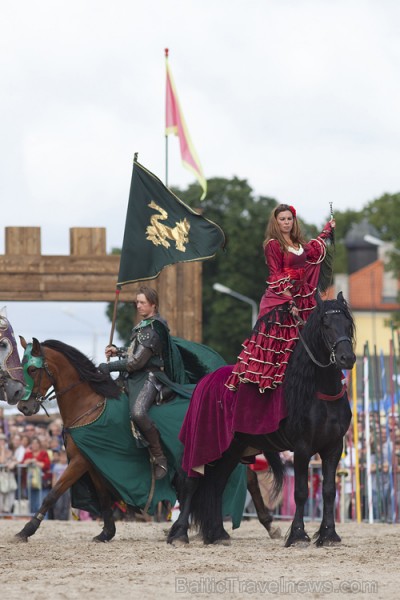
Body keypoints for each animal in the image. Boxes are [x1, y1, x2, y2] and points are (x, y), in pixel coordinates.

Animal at [169, 292, 356, 548]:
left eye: (347, 324)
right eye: (326, 324)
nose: (348, 358)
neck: (319, 393)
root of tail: (205, 381)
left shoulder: (333, 447)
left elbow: (328, 490)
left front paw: (329, 535)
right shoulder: (302, 447)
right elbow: (301, 491)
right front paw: (298, 535)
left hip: (232, 450)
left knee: (216, 485)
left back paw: (218, 534)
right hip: (202, 444)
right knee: (191, 482)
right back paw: (179, 534)